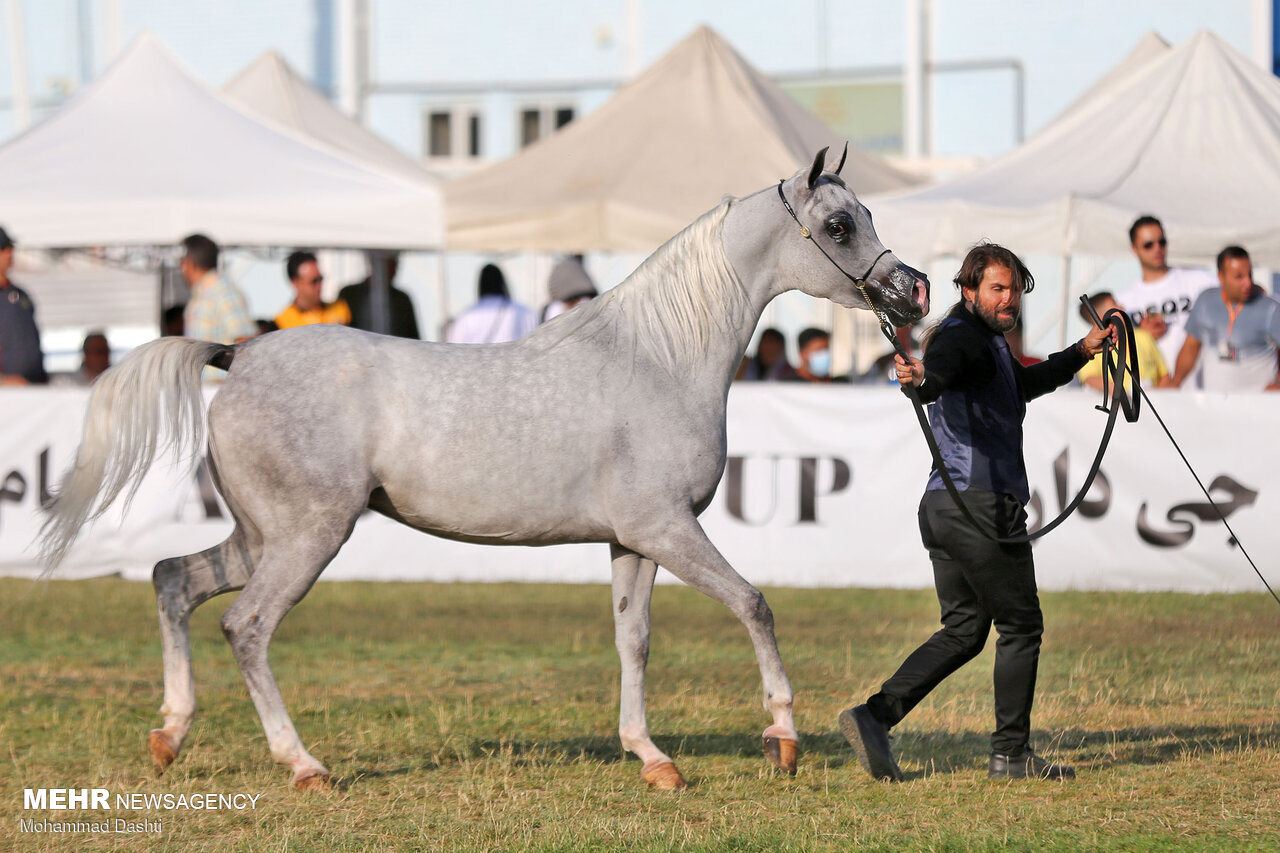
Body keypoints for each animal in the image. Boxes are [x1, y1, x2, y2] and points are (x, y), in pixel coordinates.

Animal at [45, 147, 931, 788]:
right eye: (839, 225)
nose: (914, 291)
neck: (654, 358)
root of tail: (239, 353)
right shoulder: (669, 529)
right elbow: (754, 604)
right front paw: (781, 734)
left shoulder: (632, 541)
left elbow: (633, 639)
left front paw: (652, 758)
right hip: (305, 537)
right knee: (247, 626)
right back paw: (303, 765)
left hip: (258, 536)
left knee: (173, 581)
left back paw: (169, 735)